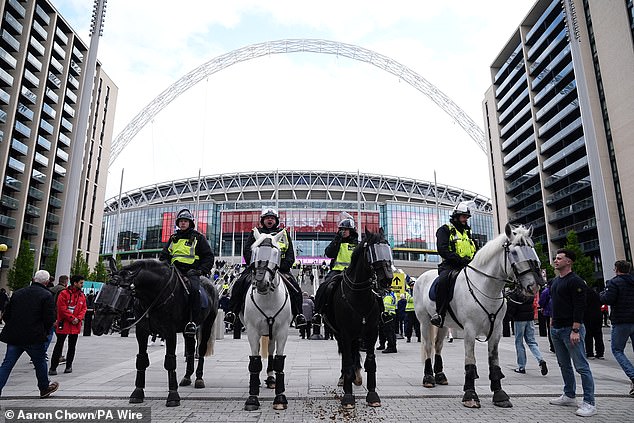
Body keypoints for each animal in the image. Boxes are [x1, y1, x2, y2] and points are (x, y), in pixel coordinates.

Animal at [90, 258, 220, 408]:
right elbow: (141, 360)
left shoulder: (169, 332)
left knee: (201, 348)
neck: (154, 295)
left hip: (208, 323)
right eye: (104, 290)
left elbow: (170, 361)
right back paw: (187, 377)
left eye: (120, 294)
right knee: (190, 348)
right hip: (188, 329)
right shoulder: (142, 332)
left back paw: (199, 378)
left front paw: (173, 396)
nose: (97, 326)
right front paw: (137, 392)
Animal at [241, 230, 292, 412]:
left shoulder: (282, 331)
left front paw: (280, 398)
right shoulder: (252, 331)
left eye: (277, 251)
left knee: (271, 352)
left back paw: (271, 379)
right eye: (253, 250)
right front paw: (252, 398)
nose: (261, 282)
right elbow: (254, 363)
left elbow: (279, 361)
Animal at [324, 229, 392, 410]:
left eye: (387, 248)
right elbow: (347, 361)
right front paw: (348, 397)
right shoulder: (346, 333)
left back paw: (357, 376)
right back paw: (344, 379)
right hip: (340, 335)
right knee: (345, 356)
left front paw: (372, 395)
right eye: (372, 251)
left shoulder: (371, 332)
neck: (359, 297)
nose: (387, 279)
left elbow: (370, 362)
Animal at [412, 224, 540, 410]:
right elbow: (470, 361)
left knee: (438, 346)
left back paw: (440, 375)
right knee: (429, 346)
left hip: (443, 324)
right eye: (514, 252)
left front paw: (499, 394)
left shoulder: (497, 330)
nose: (533, 286)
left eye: (532, 248)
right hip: (424, 321)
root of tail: (422, 277)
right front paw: (470, 395)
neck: (486, 288)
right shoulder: (470, 330)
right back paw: (428, 377)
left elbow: (494, 361)